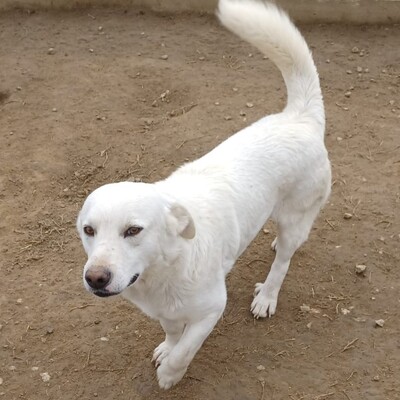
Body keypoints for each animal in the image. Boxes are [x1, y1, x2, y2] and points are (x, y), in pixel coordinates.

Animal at [77, 0, 332, 390]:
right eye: (88, 231)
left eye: (133, 230)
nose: (96, 278)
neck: (163, 270)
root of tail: (300, 117)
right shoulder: (164, 311)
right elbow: (171, 332)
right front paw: (167, 348)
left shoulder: (212, 309)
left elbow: (186, 348)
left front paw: (170, 373)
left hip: (295, 216)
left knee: (284, 261)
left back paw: (268, 295)